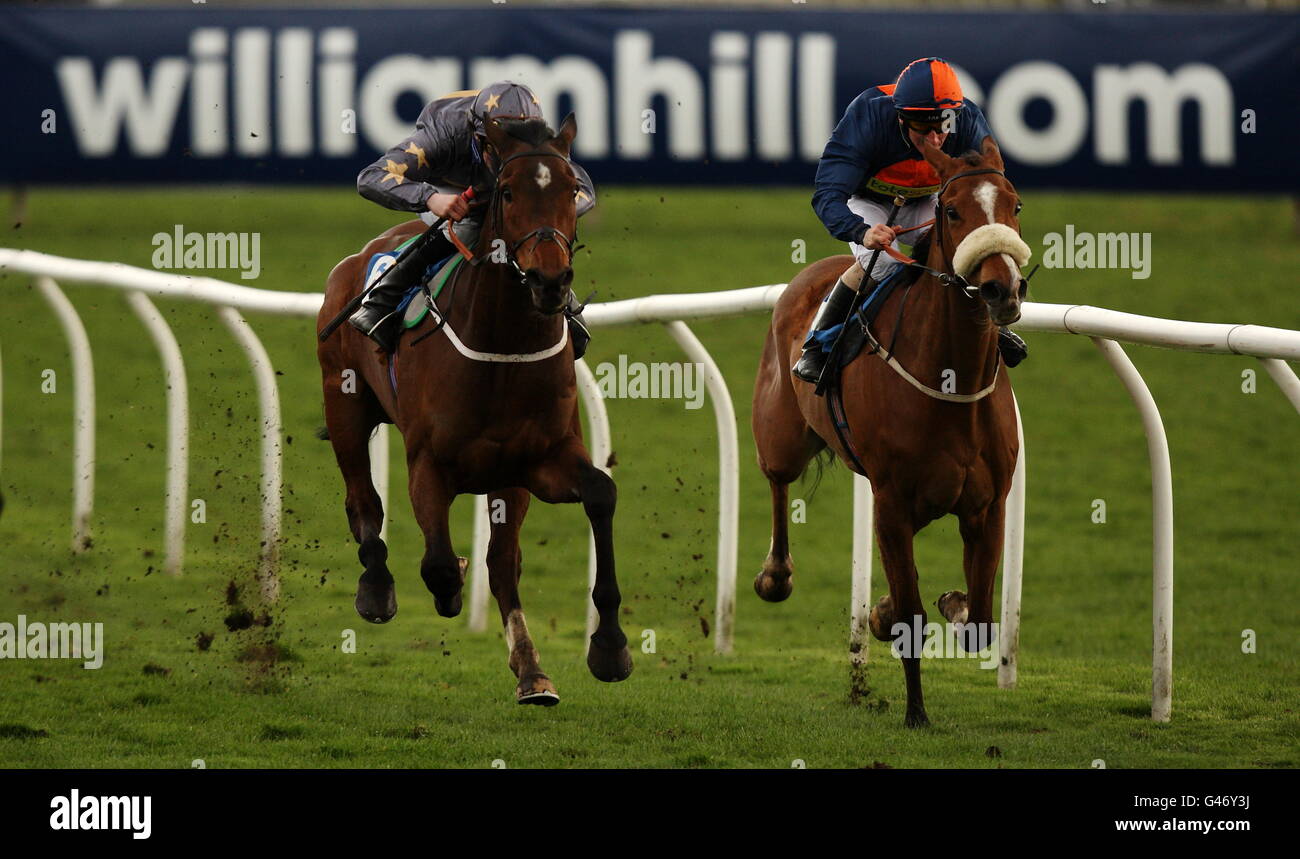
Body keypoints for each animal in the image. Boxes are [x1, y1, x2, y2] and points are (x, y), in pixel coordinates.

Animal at [319, 113, 634, 701]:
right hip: (343, 405)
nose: (550, 280)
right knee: (362, 502)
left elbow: (599, 496)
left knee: (503, 561)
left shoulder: (537, 462)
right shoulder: (429, 464)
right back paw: (376, 588)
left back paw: (532, 671)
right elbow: (439, 563)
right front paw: (447, 588)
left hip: (504, 478)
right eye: (506, 192)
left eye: (571, 189)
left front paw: (609, 647)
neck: (502, 351)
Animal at [759, 139, 1029, 722]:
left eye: (1014, 205)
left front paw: (936, 603)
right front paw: (916, 713)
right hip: (781, 436)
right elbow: (911, 615)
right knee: (777, 482)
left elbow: (979, 622)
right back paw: (775, 574)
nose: (1002, 290)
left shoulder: (987, 505)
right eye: (953, 212)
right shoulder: (891, 499)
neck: (949, 384)